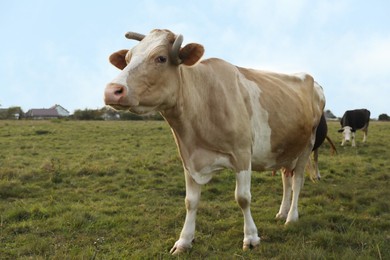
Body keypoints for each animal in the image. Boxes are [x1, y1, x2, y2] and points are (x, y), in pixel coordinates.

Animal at [104, 29, 326, 255]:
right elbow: (190, 201)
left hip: (307, 145)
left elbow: (243, 198)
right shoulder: (188, 159)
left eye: (161, 58)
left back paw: (291, 217)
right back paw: (282, 212)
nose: (112, 90)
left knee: (297, 180)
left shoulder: (242, 154)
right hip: (284, 148)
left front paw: (251, 238)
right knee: (286, 178)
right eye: (128, 59)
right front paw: (184, 241)